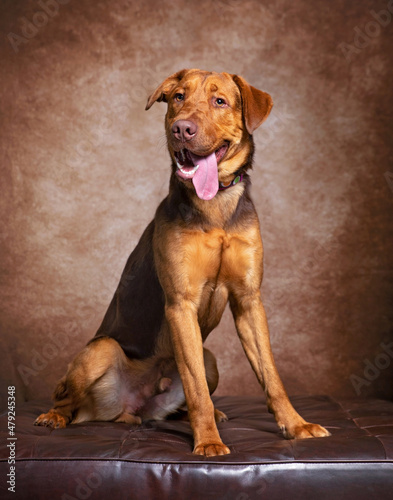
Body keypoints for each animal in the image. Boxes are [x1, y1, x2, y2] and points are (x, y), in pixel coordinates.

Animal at [35, 69, 330, 458]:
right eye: (178, 97)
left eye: (220, 101)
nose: (182, 129)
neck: (215, 204)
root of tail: (132, 409)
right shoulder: (181, 303)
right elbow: (196, 389)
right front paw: (208, 441)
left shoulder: (248, 300)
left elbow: (271, 374)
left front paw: (295, 425)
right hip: (99, 352)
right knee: (70, 398)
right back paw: (55, 416)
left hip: (211, 359)